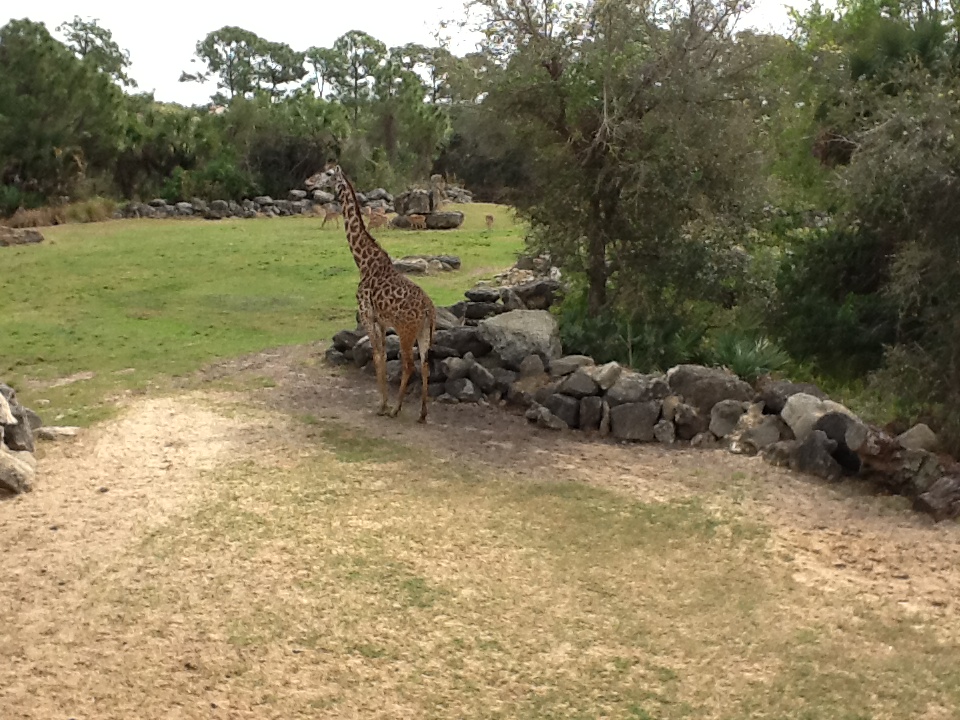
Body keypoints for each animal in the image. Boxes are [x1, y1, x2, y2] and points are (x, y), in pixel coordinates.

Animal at [306, 163, 436, 422]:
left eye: (328, 174)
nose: (309, 182)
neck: (363, 262)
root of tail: (429, 309)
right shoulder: (383, 321)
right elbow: (384, 355)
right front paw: (384, 402)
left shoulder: (368, 315)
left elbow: (376, 356)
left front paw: (382, 405)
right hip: (424, 332)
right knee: (426, 364)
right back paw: (422, 413)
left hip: (406, 331)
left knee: (410, 365)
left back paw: (397, 409)